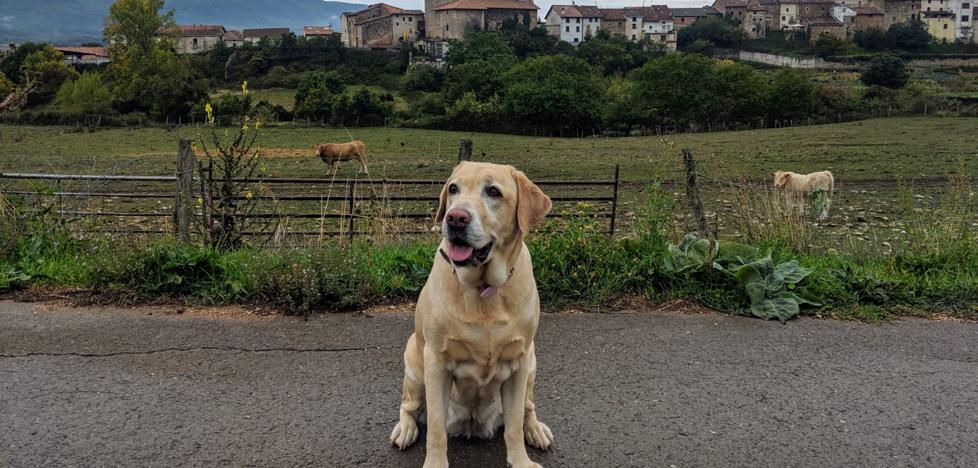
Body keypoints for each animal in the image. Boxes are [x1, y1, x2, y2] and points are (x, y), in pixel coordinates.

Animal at [390, 162, 556, 468]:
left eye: (494, 192)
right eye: (454, 188)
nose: (455, 218)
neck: (483, 290)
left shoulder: (519, 363)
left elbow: (514, 425)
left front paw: (521, 460)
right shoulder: (436, 362)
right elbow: (436, 428)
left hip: (532, 365)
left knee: (527, 408)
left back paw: (536, 429)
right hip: (414, 368)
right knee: (409, 406)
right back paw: (405, 429)